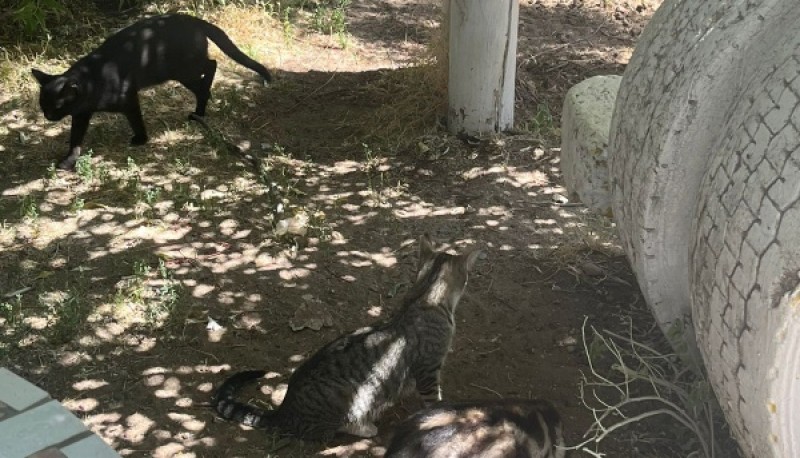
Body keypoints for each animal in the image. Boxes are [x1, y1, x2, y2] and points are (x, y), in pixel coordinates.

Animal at [32, 14, 272, 172]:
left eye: (57, 105)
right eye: (43, 105)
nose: (48, 116)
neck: (93, 80)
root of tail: (193, 19)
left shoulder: (128, 99)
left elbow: (136, 120)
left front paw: (141, 139)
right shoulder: (81, 114)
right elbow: (75, 139)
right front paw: (68, 161)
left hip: (184, 68)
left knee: (212, 64)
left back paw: (205, 94)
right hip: (182, 72)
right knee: (206, 76)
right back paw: (200, 107)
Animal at [209, 234, 482, 442]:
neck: (425, 296)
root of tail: (284, 410)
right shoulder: (428, 370)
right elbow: (433, 401)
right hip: (356, 393)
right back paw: (365, 428)